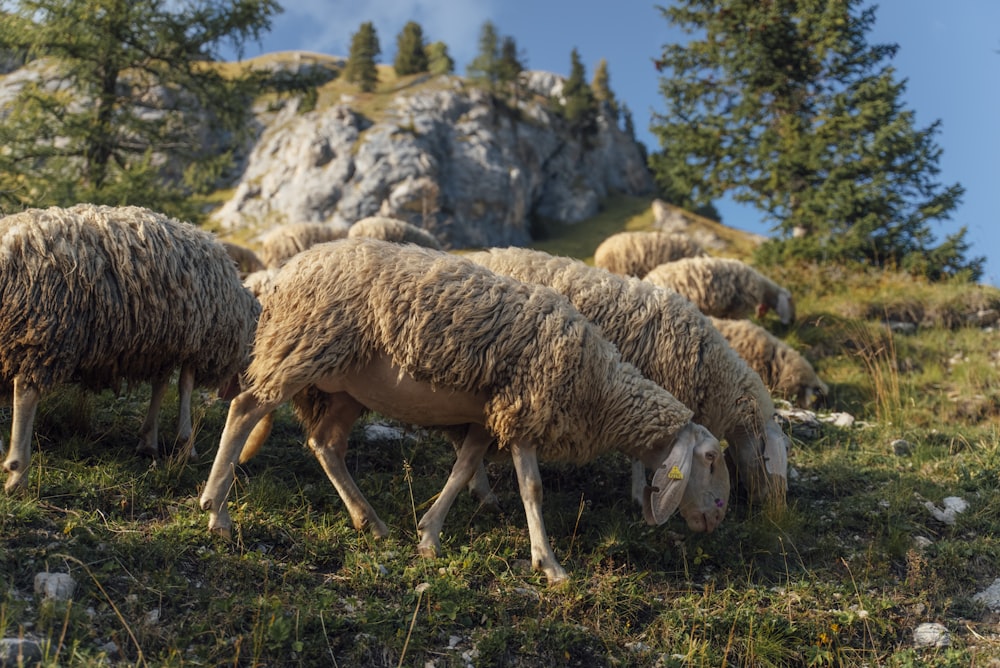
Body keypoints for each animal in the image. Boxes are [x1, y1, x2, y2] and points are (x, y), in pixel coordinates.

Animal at [0, 204, 262, 490]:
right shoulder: (195, 341)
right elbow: (184, 388)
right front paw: (185, 445)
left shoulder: (165, 346)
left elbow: (161, 386)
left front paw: (149, 441)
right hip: (44, 326)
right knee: (26, 390)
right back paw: (18, 472)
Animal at [199, 237, 732, 580]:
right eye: (709, 459)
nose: (717, 519)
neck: (598, 387)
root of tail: (284, 274)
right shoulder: (525, 409)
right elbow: (532, 489)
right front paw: (550, 565)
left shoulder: (488, 418)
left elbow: (461, 470)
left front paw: (428, 536)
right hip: (304, 345)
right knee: (245, 408)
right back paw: (215, 511)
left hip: (344, 384)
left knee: (325, 443)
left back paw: (369, 520)